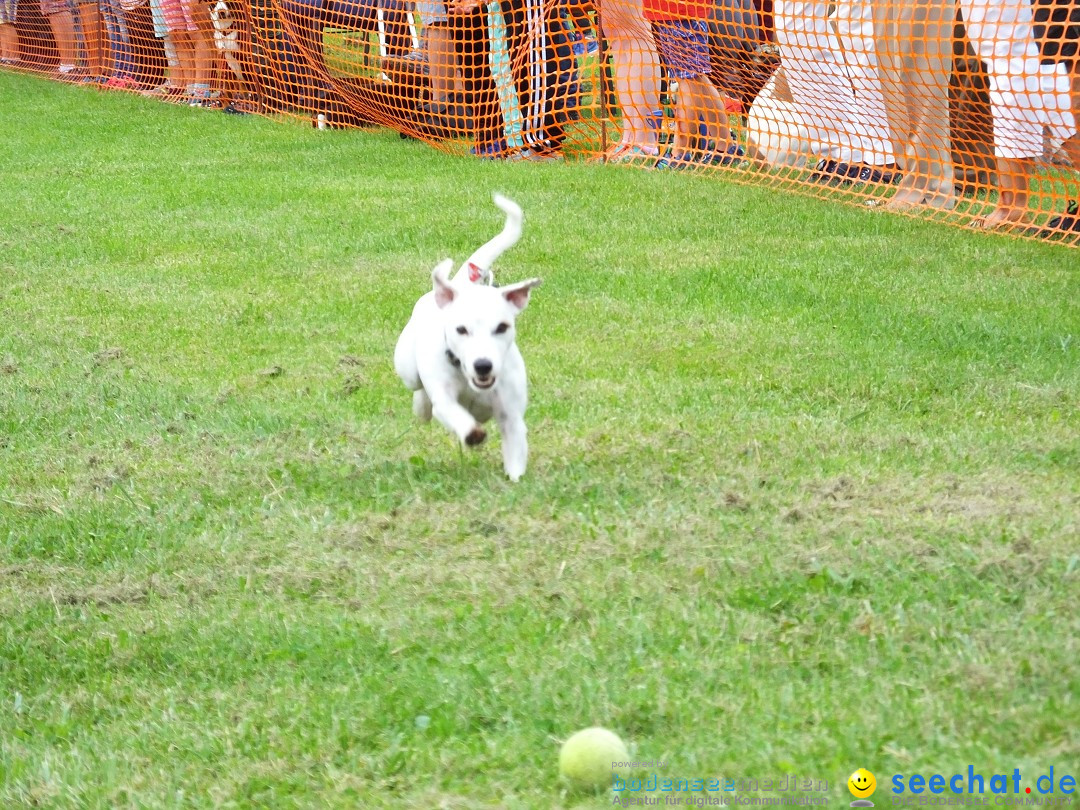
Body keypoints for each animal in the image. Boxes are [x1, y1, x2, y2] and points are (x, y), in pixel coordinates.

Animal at [393, 194, 540, 481]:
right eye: (461, 330)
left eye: (502, 327)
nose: (483, 365)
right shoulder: (444, 400)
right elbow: (452, 412)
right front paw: (472, 434)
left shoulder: (512, 417)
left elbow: (515, 453)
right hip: (407, 368)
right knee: (419, 391)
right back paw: (422, 408)